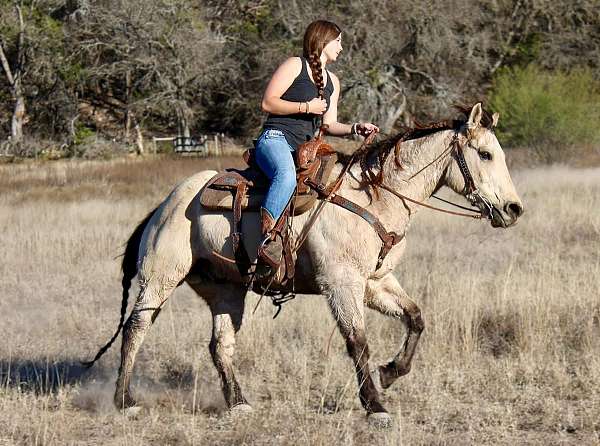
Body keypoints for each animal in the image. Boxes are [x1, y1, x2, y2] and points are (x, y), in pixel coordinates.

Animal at [84, 103, 524, 426]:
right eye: (485, 154)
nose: (513, 209)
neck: (374, 195)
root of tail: (165, 204)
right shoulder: (341, 283)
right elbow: (358, 342)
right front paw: (375, 406)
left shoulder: (376, 281)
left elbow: (416, 318)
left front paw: (389, 373)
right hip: (160, 277)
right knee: (136, 328)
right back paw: (124, 400)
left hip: (226, 289)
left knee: (220, 345)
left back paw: (238, 403)